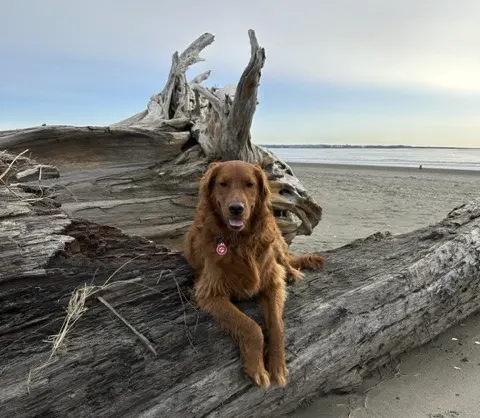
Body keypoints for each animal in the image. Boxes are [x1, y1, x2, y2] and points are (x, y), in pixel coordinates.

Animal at [182, 160, 324, 388]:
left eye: (249, 184)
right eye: (223, 183)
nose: (236, 209)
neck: (240, 241)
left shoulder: (272, 281)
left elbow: (277, 325)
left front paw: (277, 365)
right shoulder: (210, 293)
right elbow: (251, 326)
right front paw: (257, 367)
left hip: (275, 239)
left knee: (286, 262)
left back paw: (292, 274)